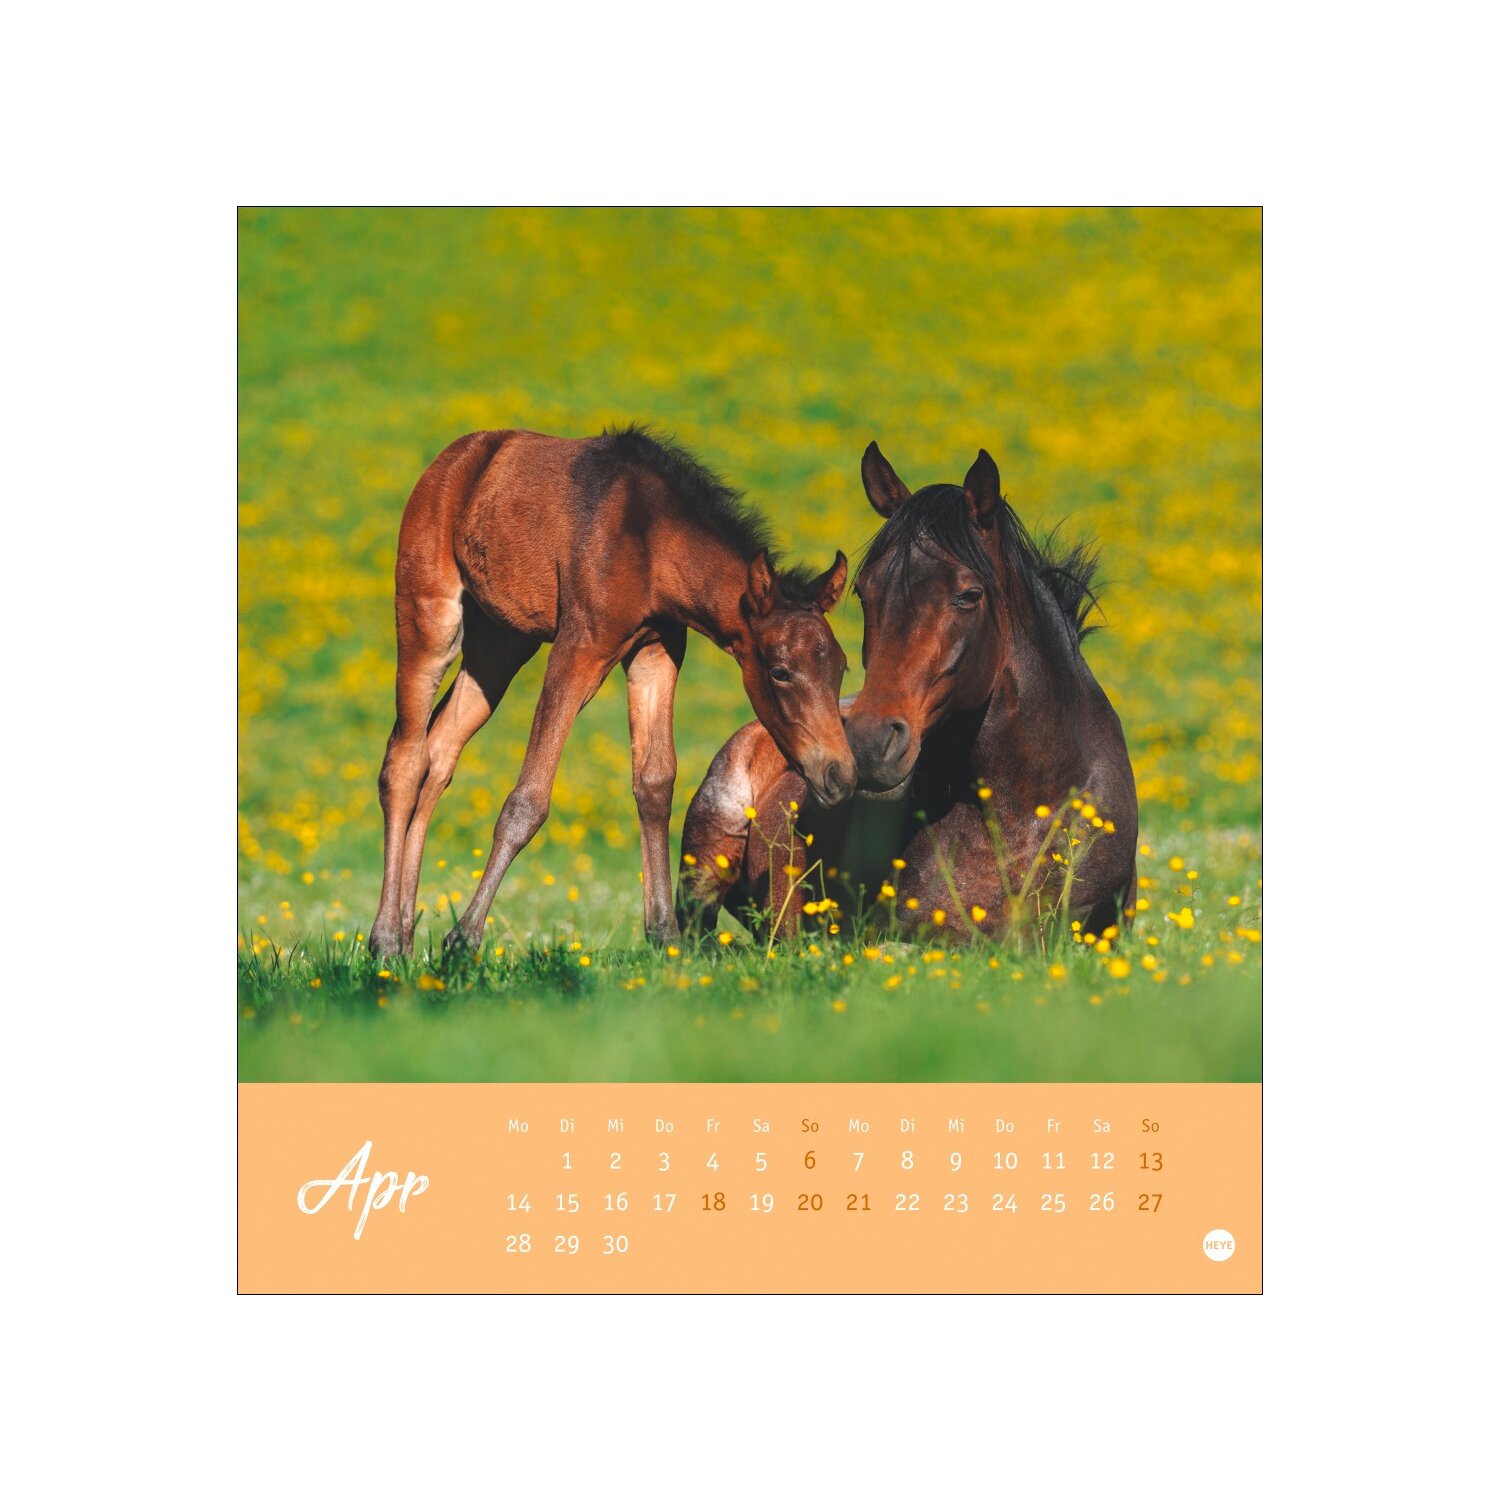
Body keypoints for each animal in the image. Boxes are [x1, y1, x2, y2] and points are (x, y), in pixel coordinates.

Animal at [368, 424, 855, 958]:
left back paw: (407, 937)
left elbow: (655, 782)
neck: (647, 537)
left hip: (500, 645)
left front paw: (665, 935)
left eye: (842, 668)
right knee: (405, 759)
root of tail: (453, 458)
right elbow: (528, 798)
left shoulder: (656, 650)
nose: (841, 775)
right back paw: (385, 939)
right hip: (429, 618)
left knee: (439, 753)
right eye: (780, 671)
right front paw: (464, 938)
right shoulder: (577, 648)